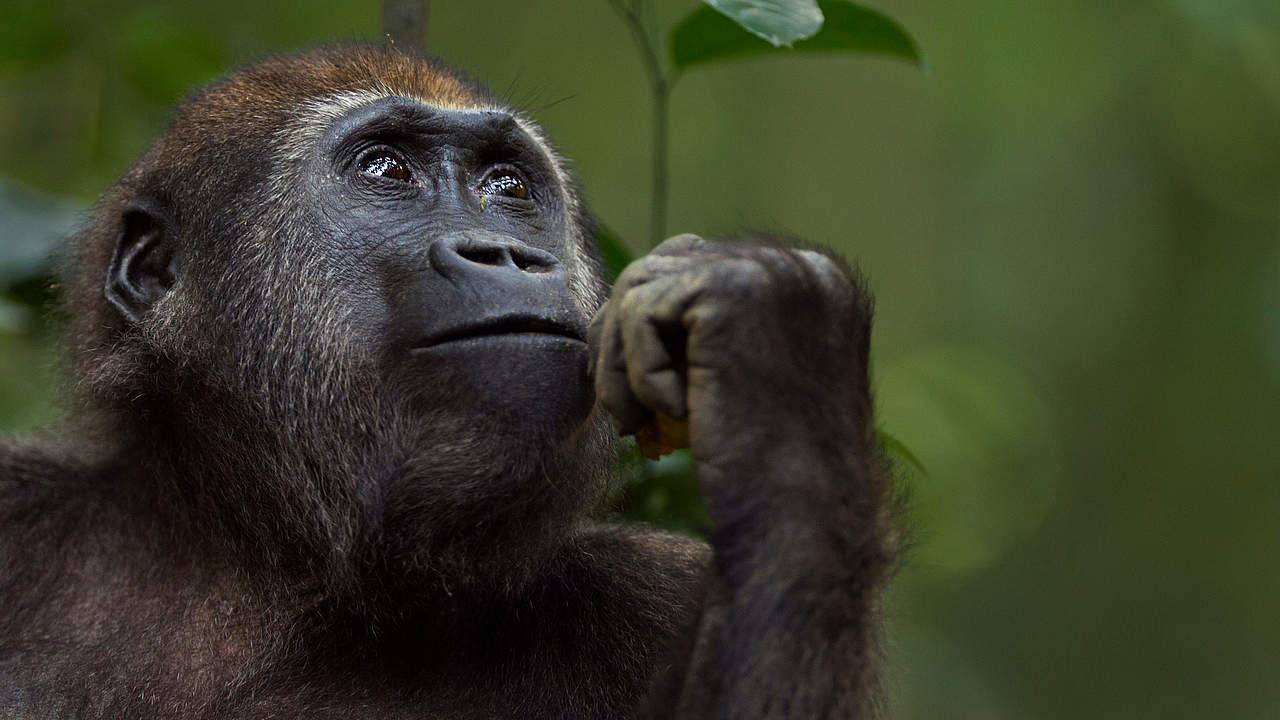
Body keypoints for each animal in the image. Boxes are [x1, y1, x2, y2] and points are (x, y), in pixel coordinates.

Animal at [0, 47, 901, 712]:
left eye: (508, 185)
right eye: (386, 170)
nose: (506, 253)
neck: (260, 552)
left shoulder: (661, 592)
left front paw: (782, 363)